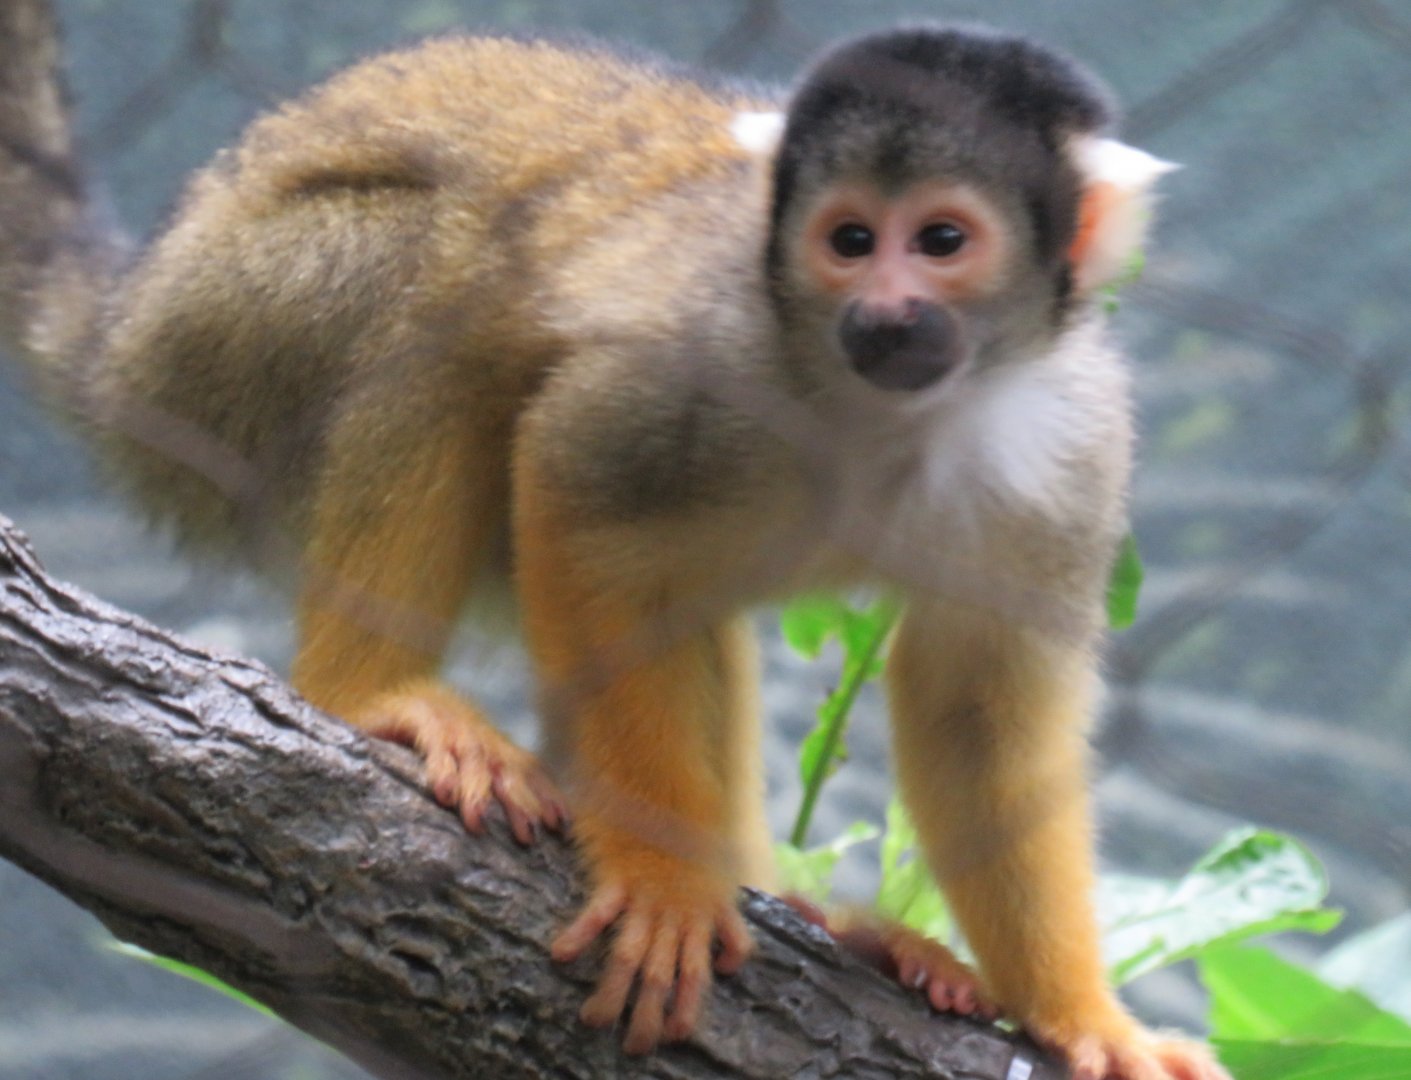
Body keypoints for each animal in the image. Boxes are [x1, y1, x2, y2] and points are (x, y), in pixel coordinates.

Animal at [0, 3, 1230, 1076]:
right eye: (847, 241)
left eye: (939, 240)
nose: (881, 315)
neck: (888, 414)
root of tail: (125, 333)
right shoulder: (705, 353)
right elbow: (578, 501)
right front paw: (663, 881)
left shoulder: (1073, 444)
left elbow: (979, 703)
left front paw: (1080, 1018)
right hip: (226, 340)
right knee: (444, 285)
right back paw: (370, 688)